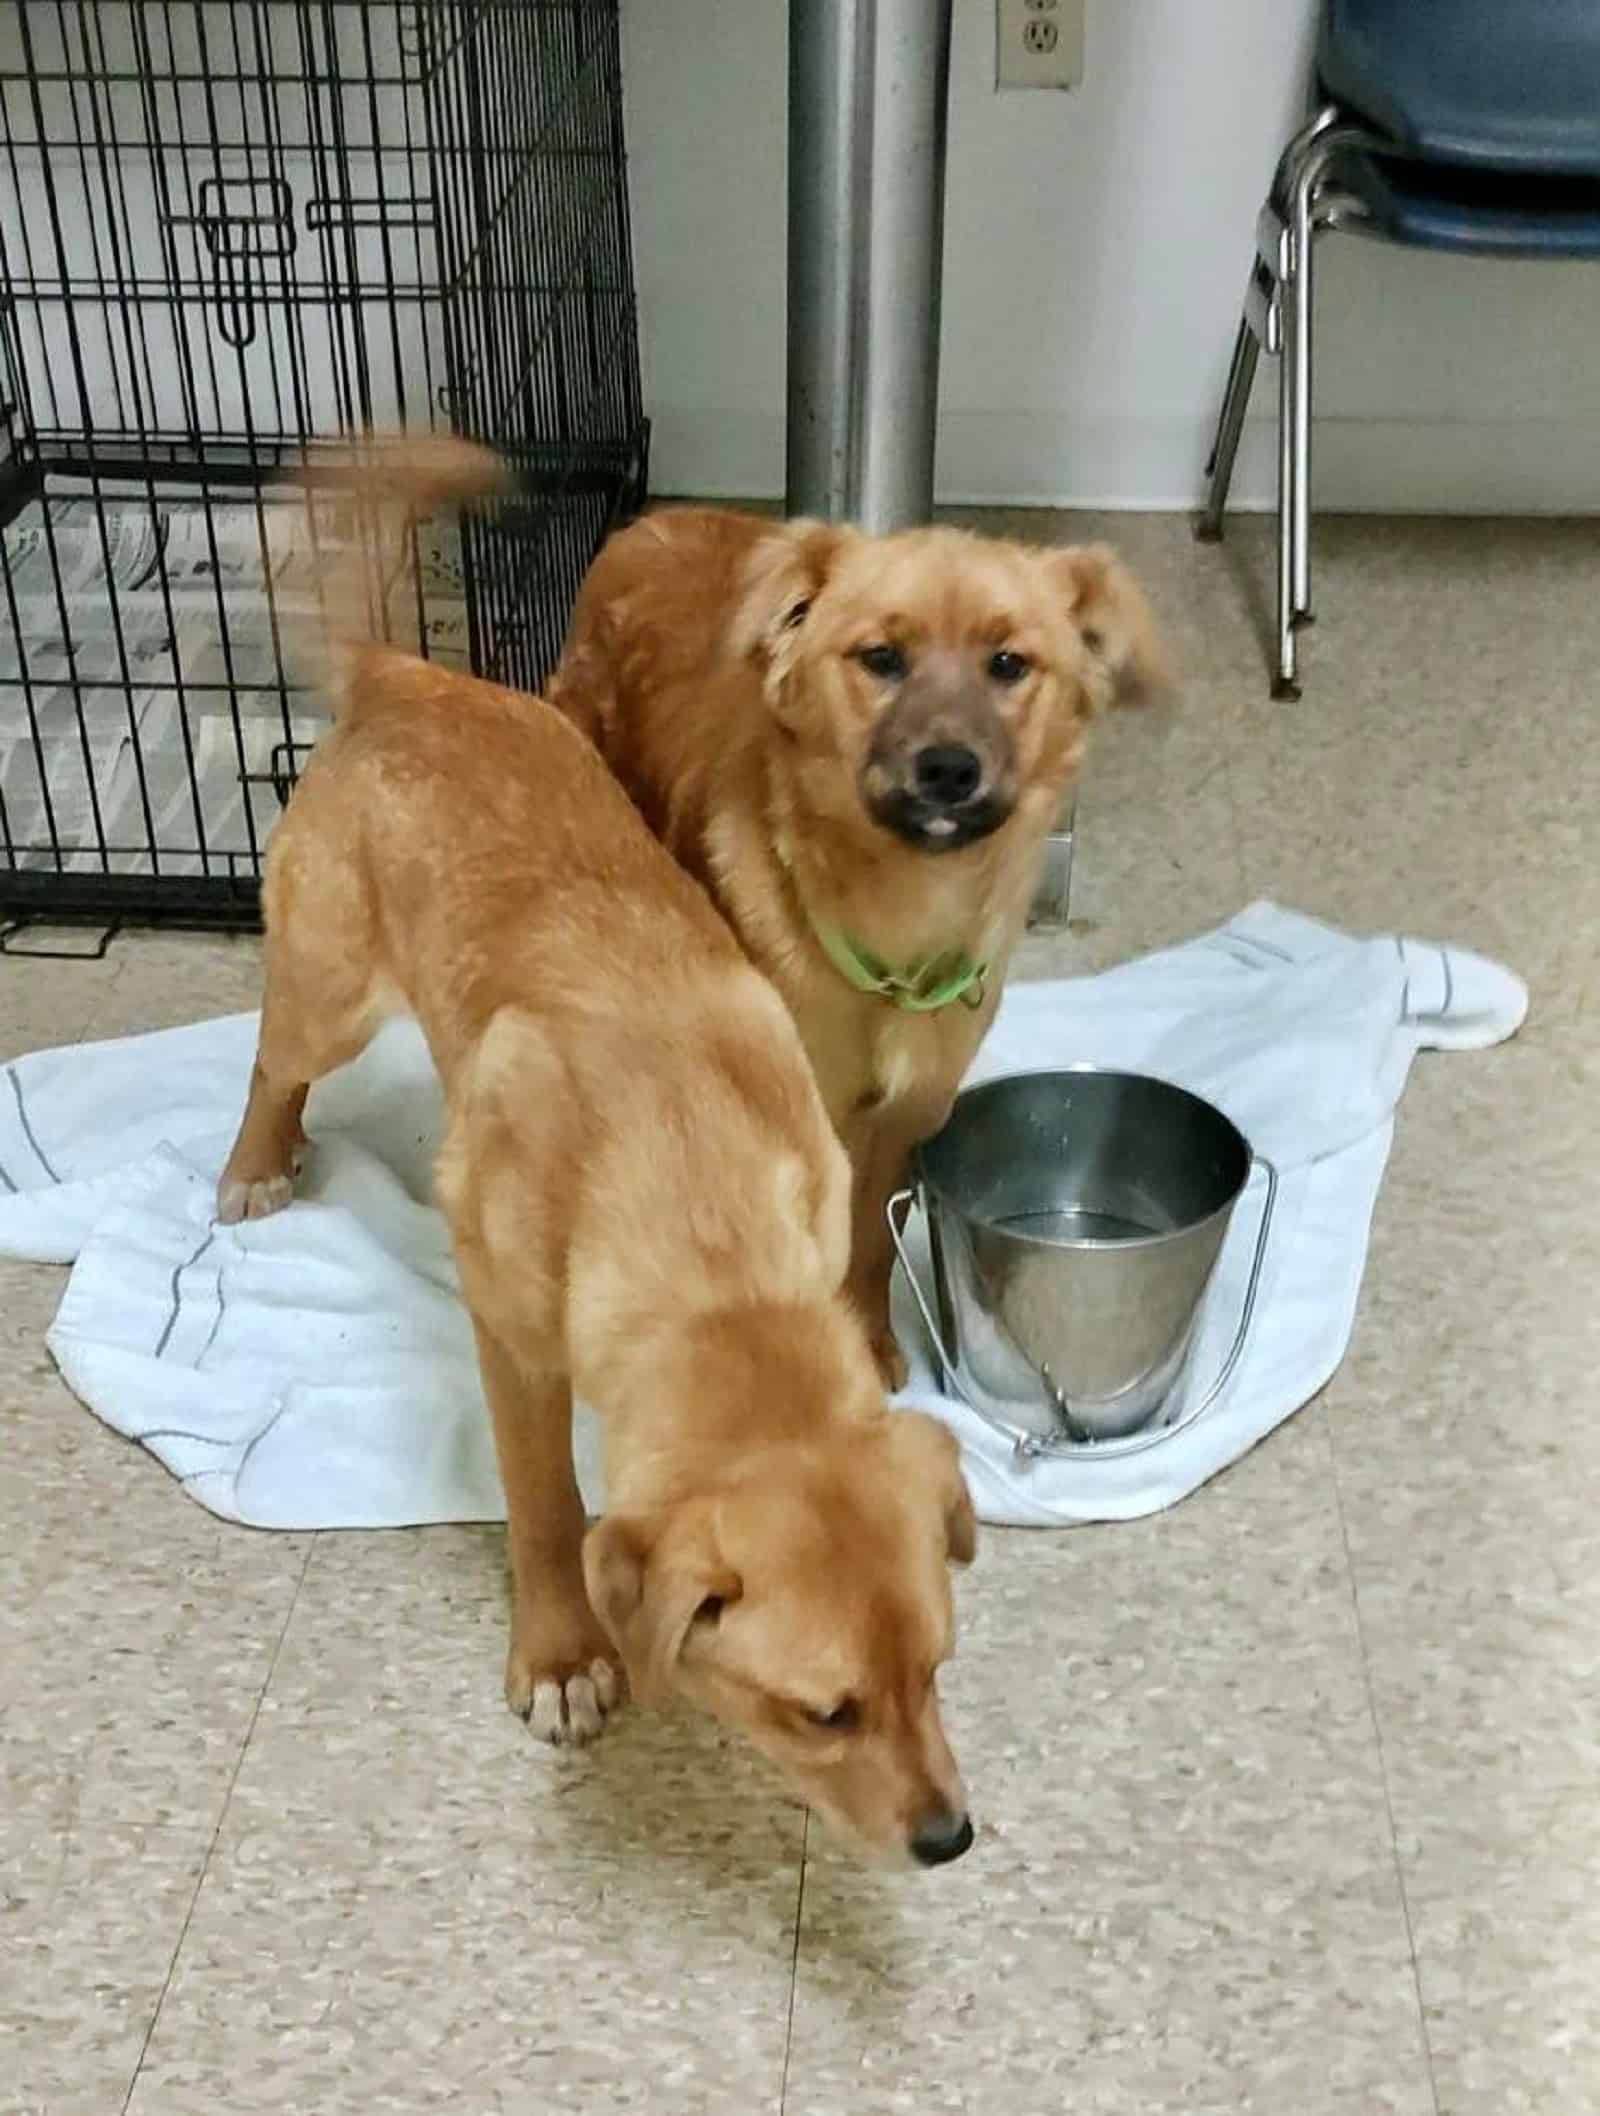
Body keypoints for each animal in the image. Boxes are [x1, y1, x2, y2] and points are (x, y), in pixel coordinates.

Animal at [215, 438, 973, 1862]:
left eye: (936, 1672)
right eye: (822, 1713)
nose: (948, 1839)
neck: (708, 1229)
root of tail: (406, 677)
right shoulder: (515, 1342)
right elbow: (544, 1503)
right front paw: (564, 1654)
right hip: (327, 984)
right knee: (271, 1059)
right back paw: (253, 1162)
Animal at [554, 507, 1168, 1388]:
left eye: (1008, 664)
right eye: (882, 658)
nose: (948, 770)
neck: (898, 926)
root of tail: (649, 517)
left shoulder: (908, 1119)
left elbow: (873, 1245)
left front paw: (870, 1342)